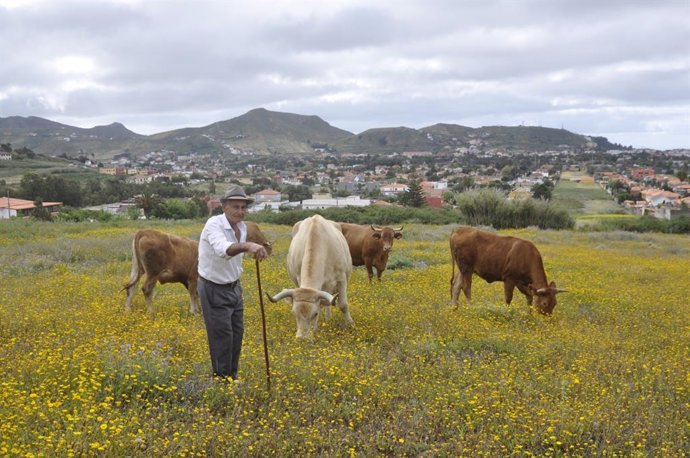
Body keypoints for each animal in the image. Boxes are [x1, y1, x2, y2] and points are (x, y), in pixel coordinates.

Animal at [123, 223, 272, 313]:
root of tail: (144, 231)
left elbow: (197, 295)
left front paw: (199, 310)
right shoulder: (193, 278)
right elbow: (194, 295)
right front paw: (194, 311)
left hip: (137, 270)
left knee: (131, 287)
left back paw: (127, 309)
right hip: (152, 274)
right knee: (146, 289)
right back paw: (151, 311)